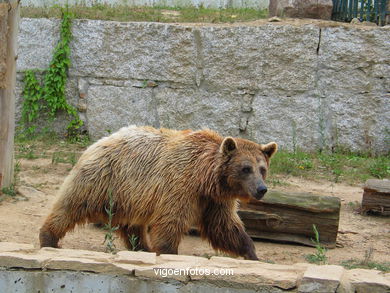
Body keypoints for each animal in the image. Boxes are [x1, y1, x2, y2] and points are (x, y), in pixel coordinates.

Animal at [39, 124, 278, 258]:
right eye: (246, 168)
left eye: (262, 169)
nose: (261, 189)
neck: (205, 178)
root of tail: (100, 140)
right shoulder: (181, 186)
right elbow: (171, 222)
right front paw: (168, 251)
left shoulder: (215, 200)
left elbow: (225, 226)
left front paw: (251, 253)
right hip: (103, 180)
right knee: (71, 206)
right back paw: (48, 239)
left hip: (131, 195)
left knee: (132, 224)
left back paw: (141, 247)